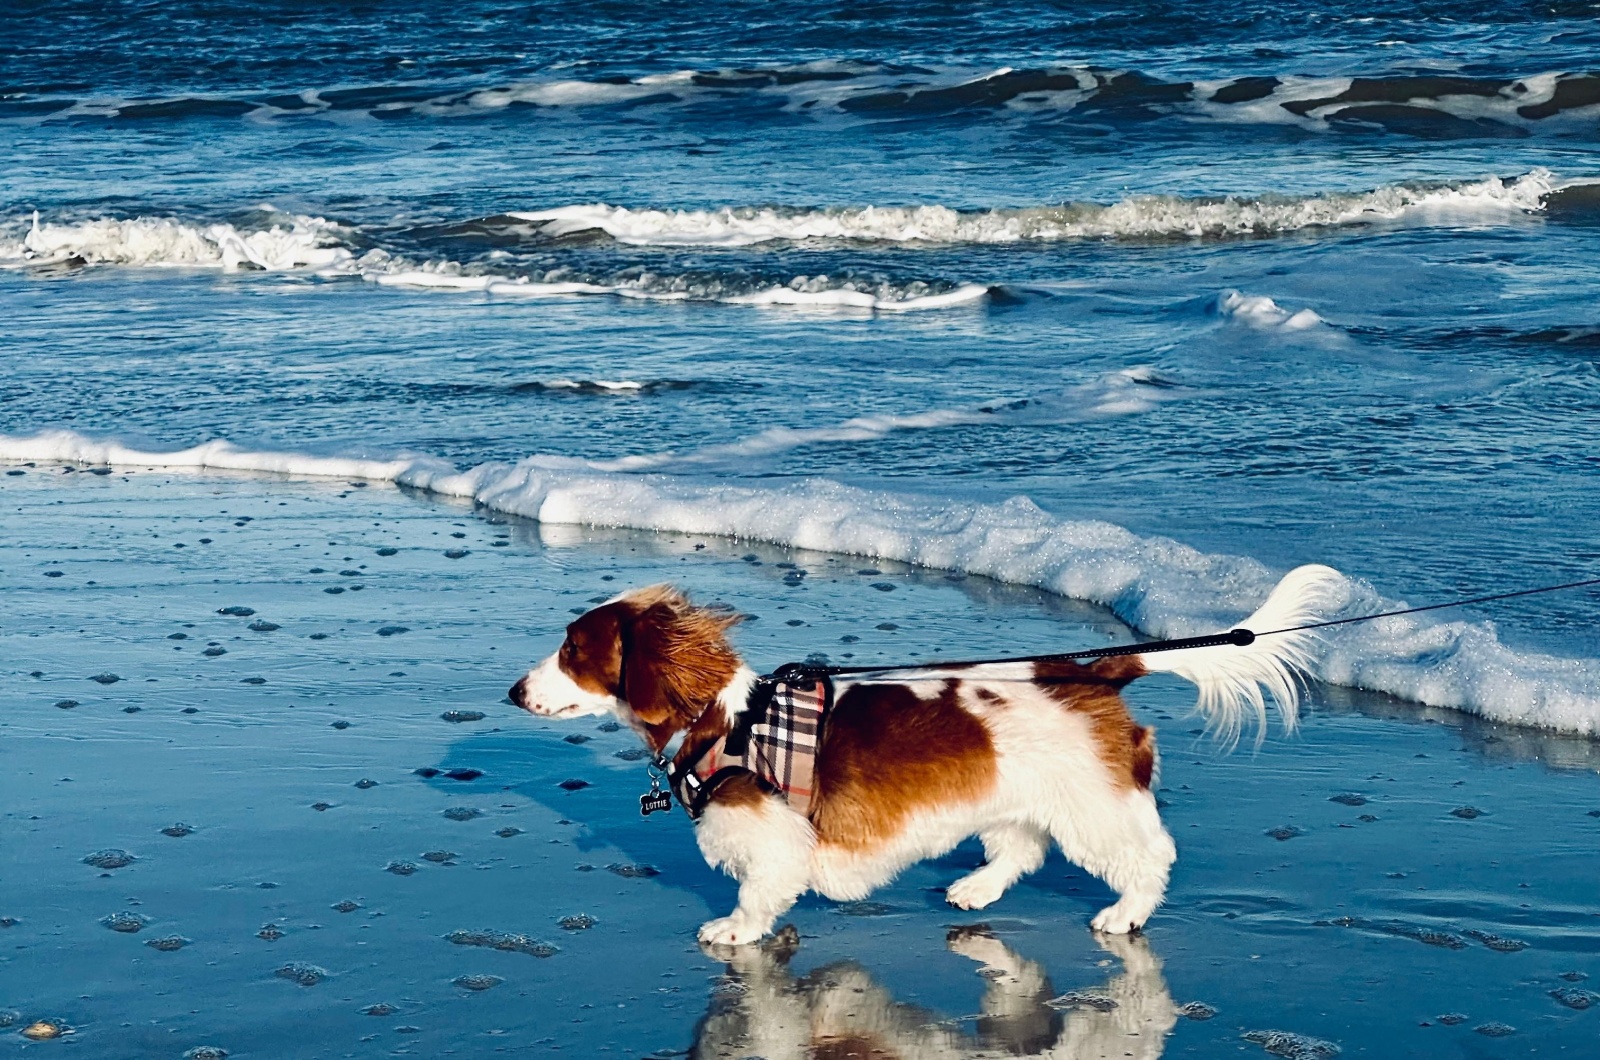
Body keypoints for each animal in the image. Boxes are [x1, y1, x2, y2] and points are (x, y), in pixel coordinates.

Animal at [508, 570, 1337, 947]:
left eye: (573, 651)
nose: (514, 691)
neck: (729, 720)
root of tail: (1097, 673)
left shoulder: (774, 837)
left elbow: (759, 892)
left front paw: (737, 929)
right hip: (1012, 795)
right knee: (1020, 851)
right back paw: (974, 889)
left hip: (1093, 806)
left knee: (1148, 857)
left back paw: (1124, 913)